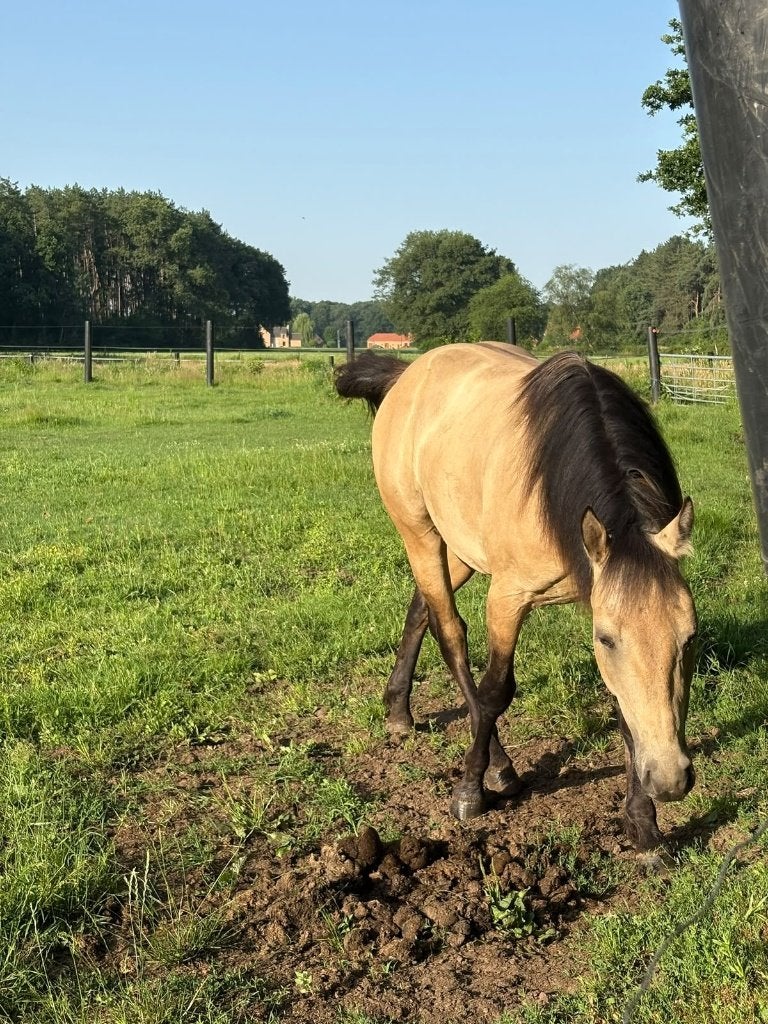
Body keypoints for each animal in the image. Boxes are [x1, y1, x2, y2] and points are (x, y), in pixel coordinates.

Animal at [335, 342, 697, 852]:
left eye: (689, 638)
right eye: (607, 640)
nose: (671, 779)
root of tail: (408, 374)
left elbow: (626, 708)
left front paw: (644, 825)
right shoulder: (508, 597)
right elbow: (495, 690)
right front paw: (469, 792)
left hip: (461, 548)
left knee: (421, 608)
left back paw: (399, 711)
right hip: (419, 533)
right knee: (451, 634)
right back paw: (499, 768)